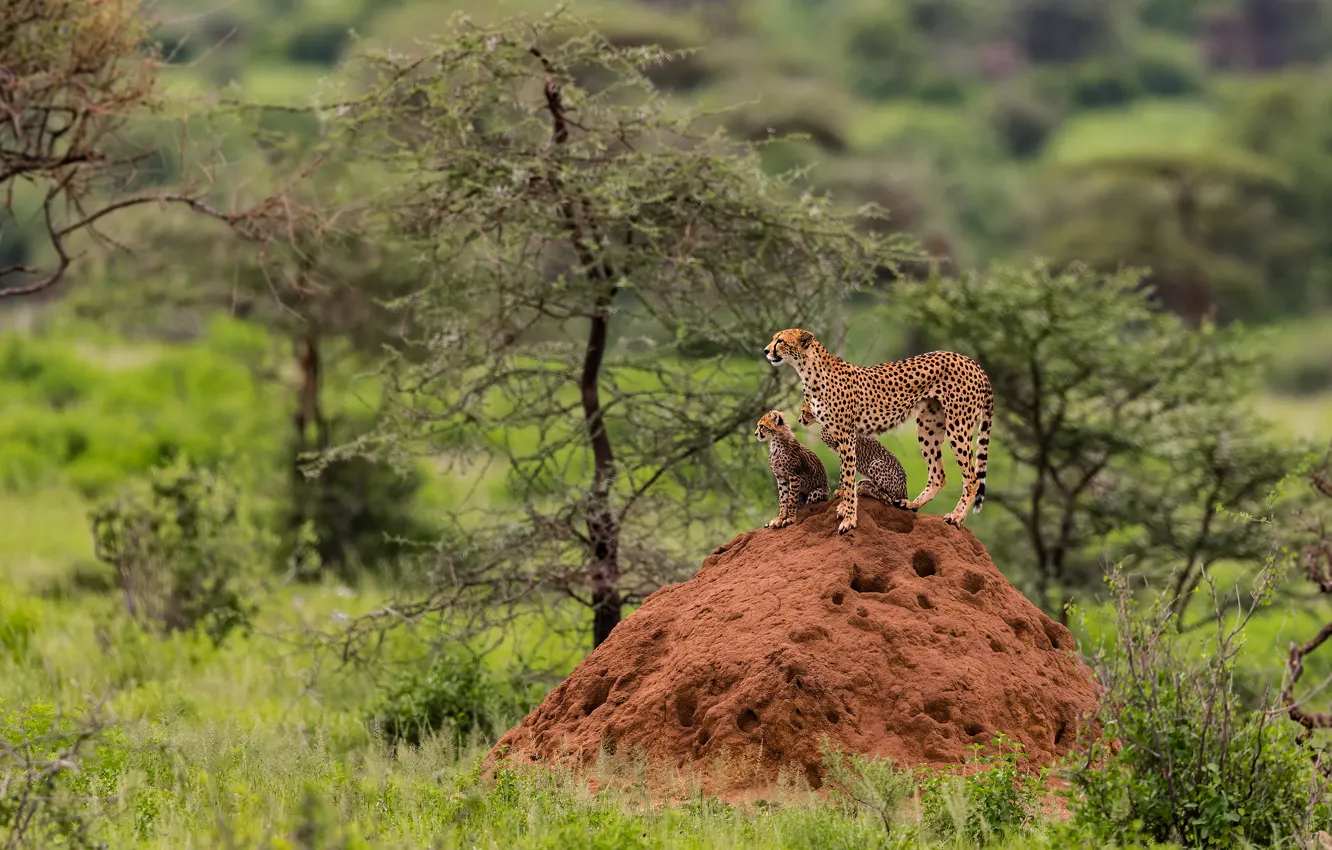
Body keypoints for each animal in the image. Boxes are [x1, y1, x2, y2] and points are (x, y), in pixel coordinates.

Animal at [764, 328, 994, 533]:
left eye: (780, 340)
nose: (766, 351)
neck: (809, 371)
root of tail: (970, 361)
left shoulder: (846, 436)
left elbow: (848, 477)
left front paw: (848, 518)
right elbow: (846, 475)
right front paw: (844, 507)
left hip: (959, 424)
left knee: (972, 478)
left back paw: (956, 516)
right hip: (928, 424)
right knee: (938, 474)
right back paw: (912, 504)